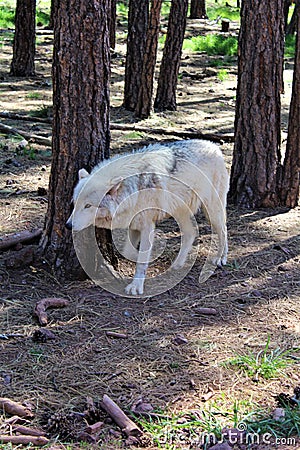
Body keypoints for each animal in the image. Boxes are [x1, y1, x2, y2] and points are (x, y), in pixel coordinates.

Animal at [66, 141, 230, 296]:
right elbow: (129, 252)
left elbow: (141, 259)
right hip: (179, 211)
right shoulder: (134, 224)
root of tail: (215, 147)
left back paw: (220, 258)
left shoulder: (147, 226)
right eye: (75, 203)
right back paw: (178, 264)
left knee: (223, 230)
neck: (133, 190)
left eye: (88, 206)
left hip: (211, 211)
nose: (68, 225)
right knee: (191, 233)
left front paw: (136, 286)